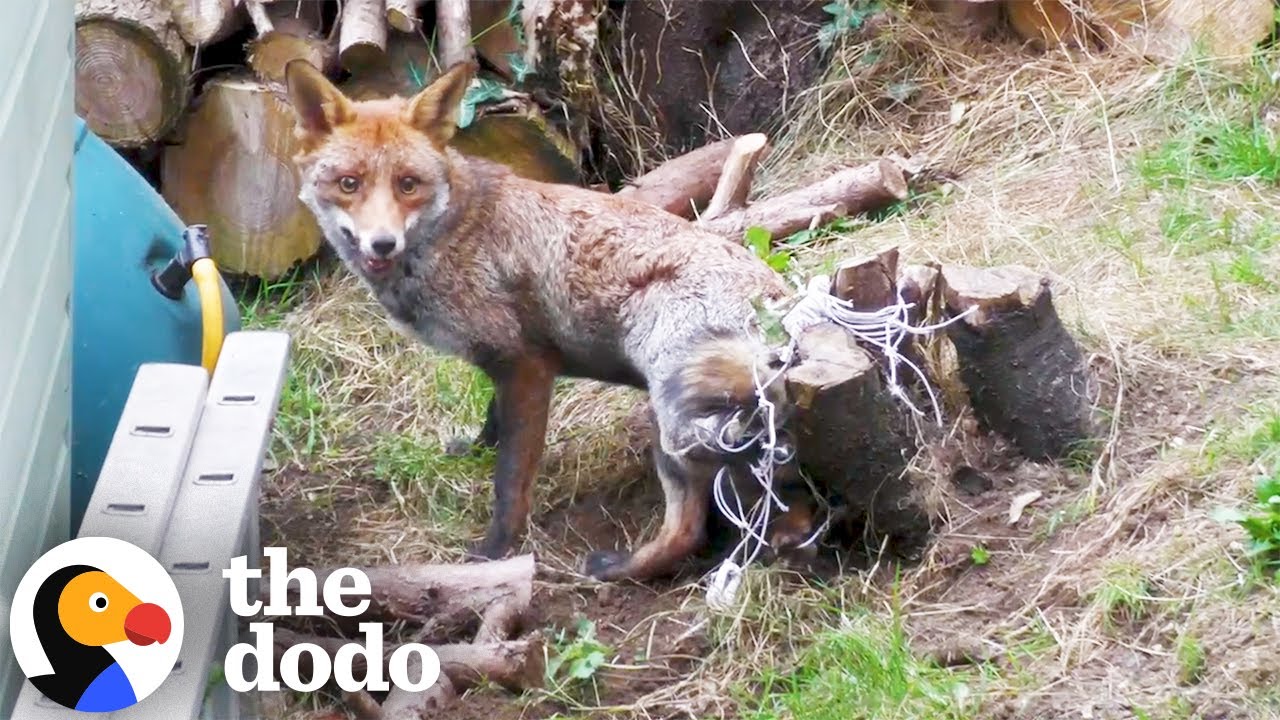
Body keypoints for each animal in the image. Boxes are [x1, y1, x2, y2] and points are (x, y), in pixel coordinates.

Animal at [282, 58, 815, 582]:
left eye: (407, 185)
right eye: (349, 184)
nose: (381, 243)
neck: (450, 234)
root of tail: (790, 315)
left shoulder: (526, 365)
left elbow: (511, 480)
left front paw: (495, 552)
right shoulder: (509, 364)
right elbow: (493, 423)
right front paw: (475, 451)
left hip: (672, 417)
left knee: (694, 527)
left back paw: (618, 569)